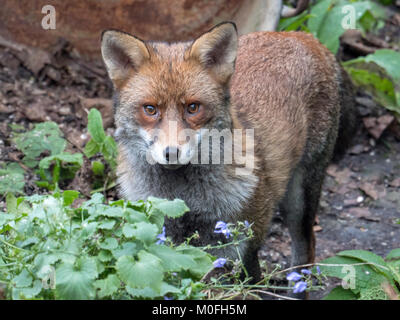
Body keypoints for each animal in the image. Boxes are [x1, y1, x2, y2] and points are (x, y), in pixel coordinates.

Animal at [100, 21, 356, 288]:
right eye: (150, 109)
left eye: (193, 108)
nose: (171, 153)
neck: (186, 201)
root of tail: (300, 35)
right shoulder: (169, 245)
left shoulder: (240, 248)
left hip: (300, 200)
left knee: (306, 252)